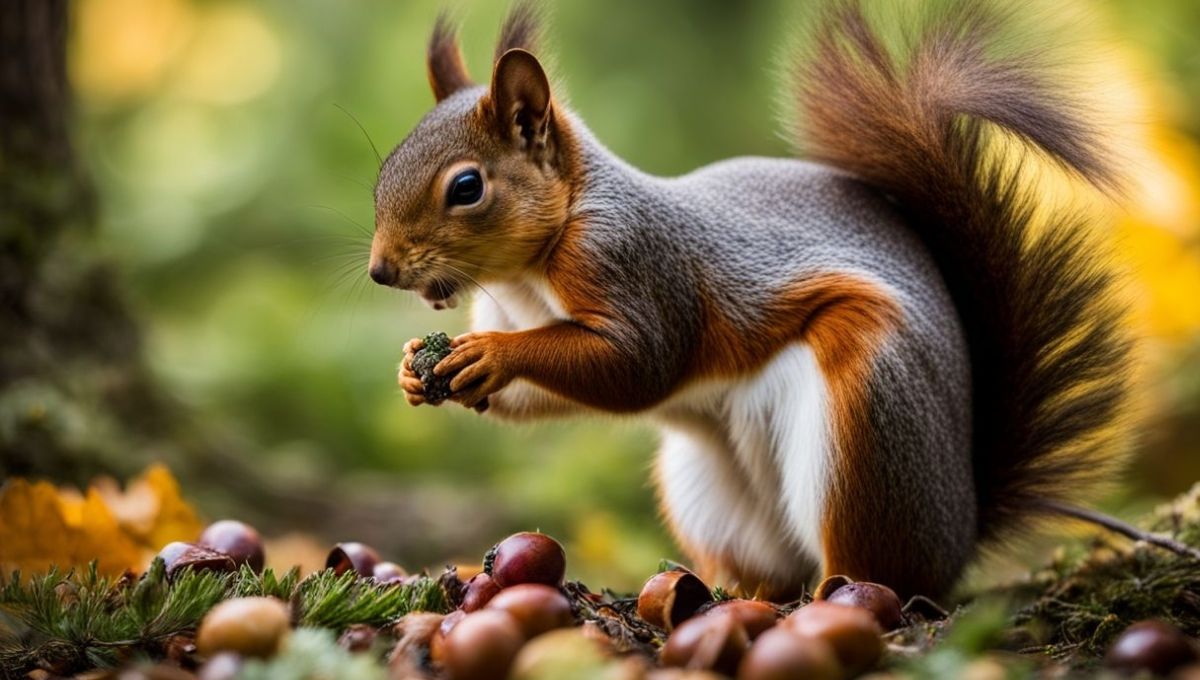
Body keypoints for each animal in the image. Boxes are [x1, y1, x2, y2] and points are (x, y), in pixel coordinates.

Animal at [369, 1, 1132, 600]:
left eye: (467, 187)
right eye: (385, 169)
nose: (380, 271)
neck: (528, 279)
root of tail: (963, 527)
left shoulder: (636, 263)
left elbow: (638, 365)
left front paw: (494, 356)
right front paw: (415, 368)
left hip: (870, 415)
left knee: (882, 569)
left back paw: (839, 596)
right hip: (707, 492)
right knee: (767, 566)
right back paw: (727, 592)